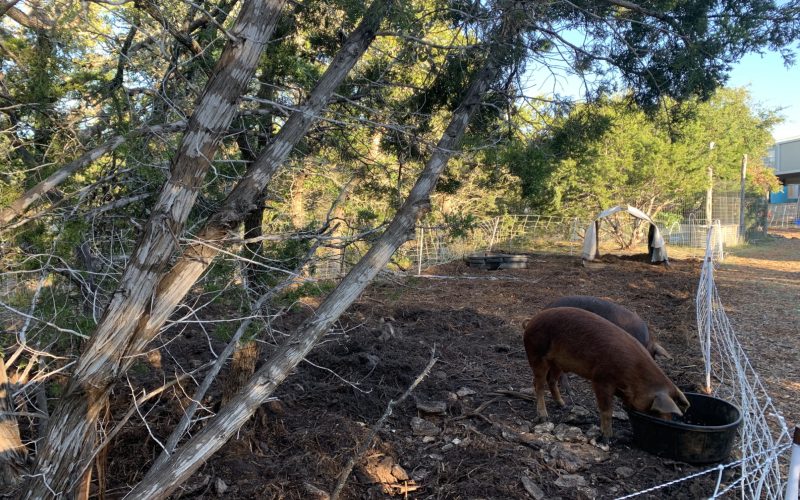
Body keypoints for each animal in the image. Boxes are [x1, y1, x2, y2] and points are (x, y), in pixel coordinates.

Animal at [523, 307, 689, 441]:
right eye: (655, 410)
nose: (668, 421)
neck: (634, 375)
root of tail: (532, 320)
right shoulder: (601, 379)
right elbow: (606, 410)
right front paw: (607, 438)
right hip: (536, 353)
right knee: (538, 384)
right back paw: (544, 416)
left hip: (558, 363)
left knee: (551, 380)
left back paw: (563, 404)